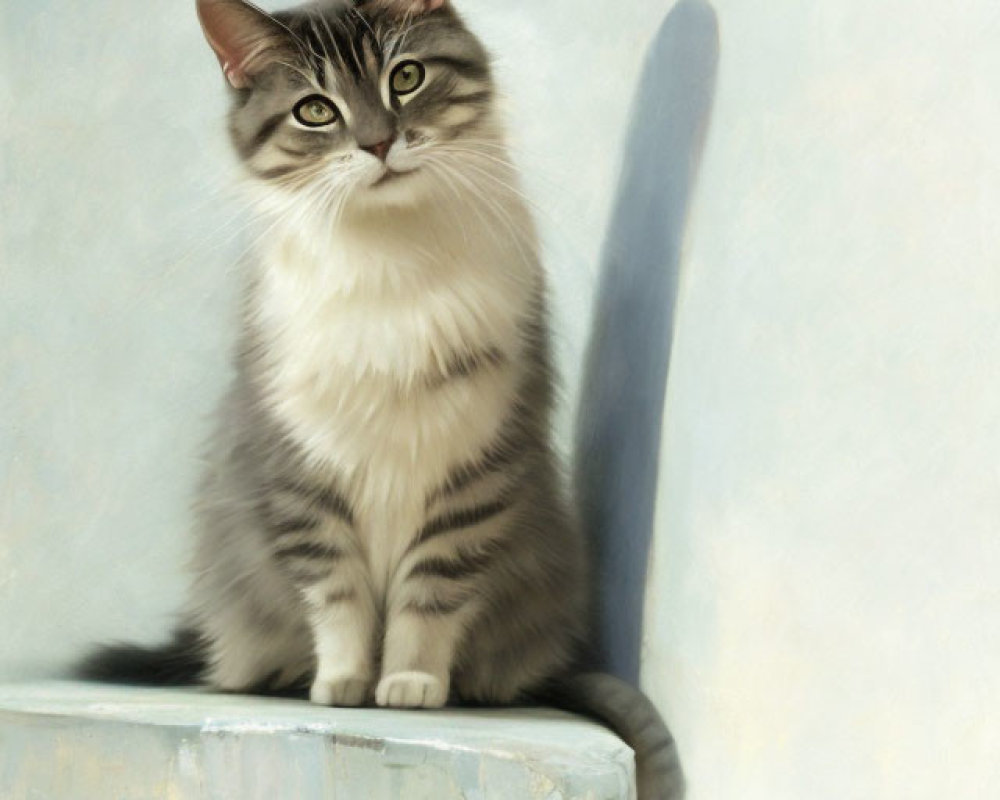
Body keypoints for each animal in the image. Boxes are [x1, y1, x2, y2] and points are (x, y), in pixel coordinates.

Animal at [78, 3, 684, 796]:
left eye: (406, 77)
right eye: (314, 110)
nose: (377, 142)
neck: (390, 261)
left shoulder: (476, 464)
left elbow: (430, 591)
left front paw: (409, 684)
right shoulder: (300, 467)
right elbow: (337, 593)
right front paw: (343, 684)